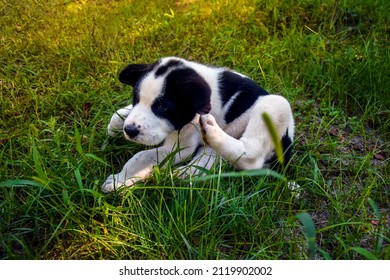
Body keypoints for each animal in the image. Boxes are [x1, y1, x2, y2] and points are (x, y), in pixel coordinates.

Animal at [102, 57, 294, 192]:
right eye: (136, 99)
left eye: (162, 107)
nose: (129, 130)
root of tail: (288, 147)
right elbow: (118, 115)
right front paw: (116, 126)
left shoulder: (179, 147)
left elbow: (141, 157)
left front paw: (119, 180)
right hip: (213, 152)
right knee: (207, 163)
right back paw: (181, 173)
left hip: (277, 106)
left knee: (252, 157)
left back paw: (211, 129)